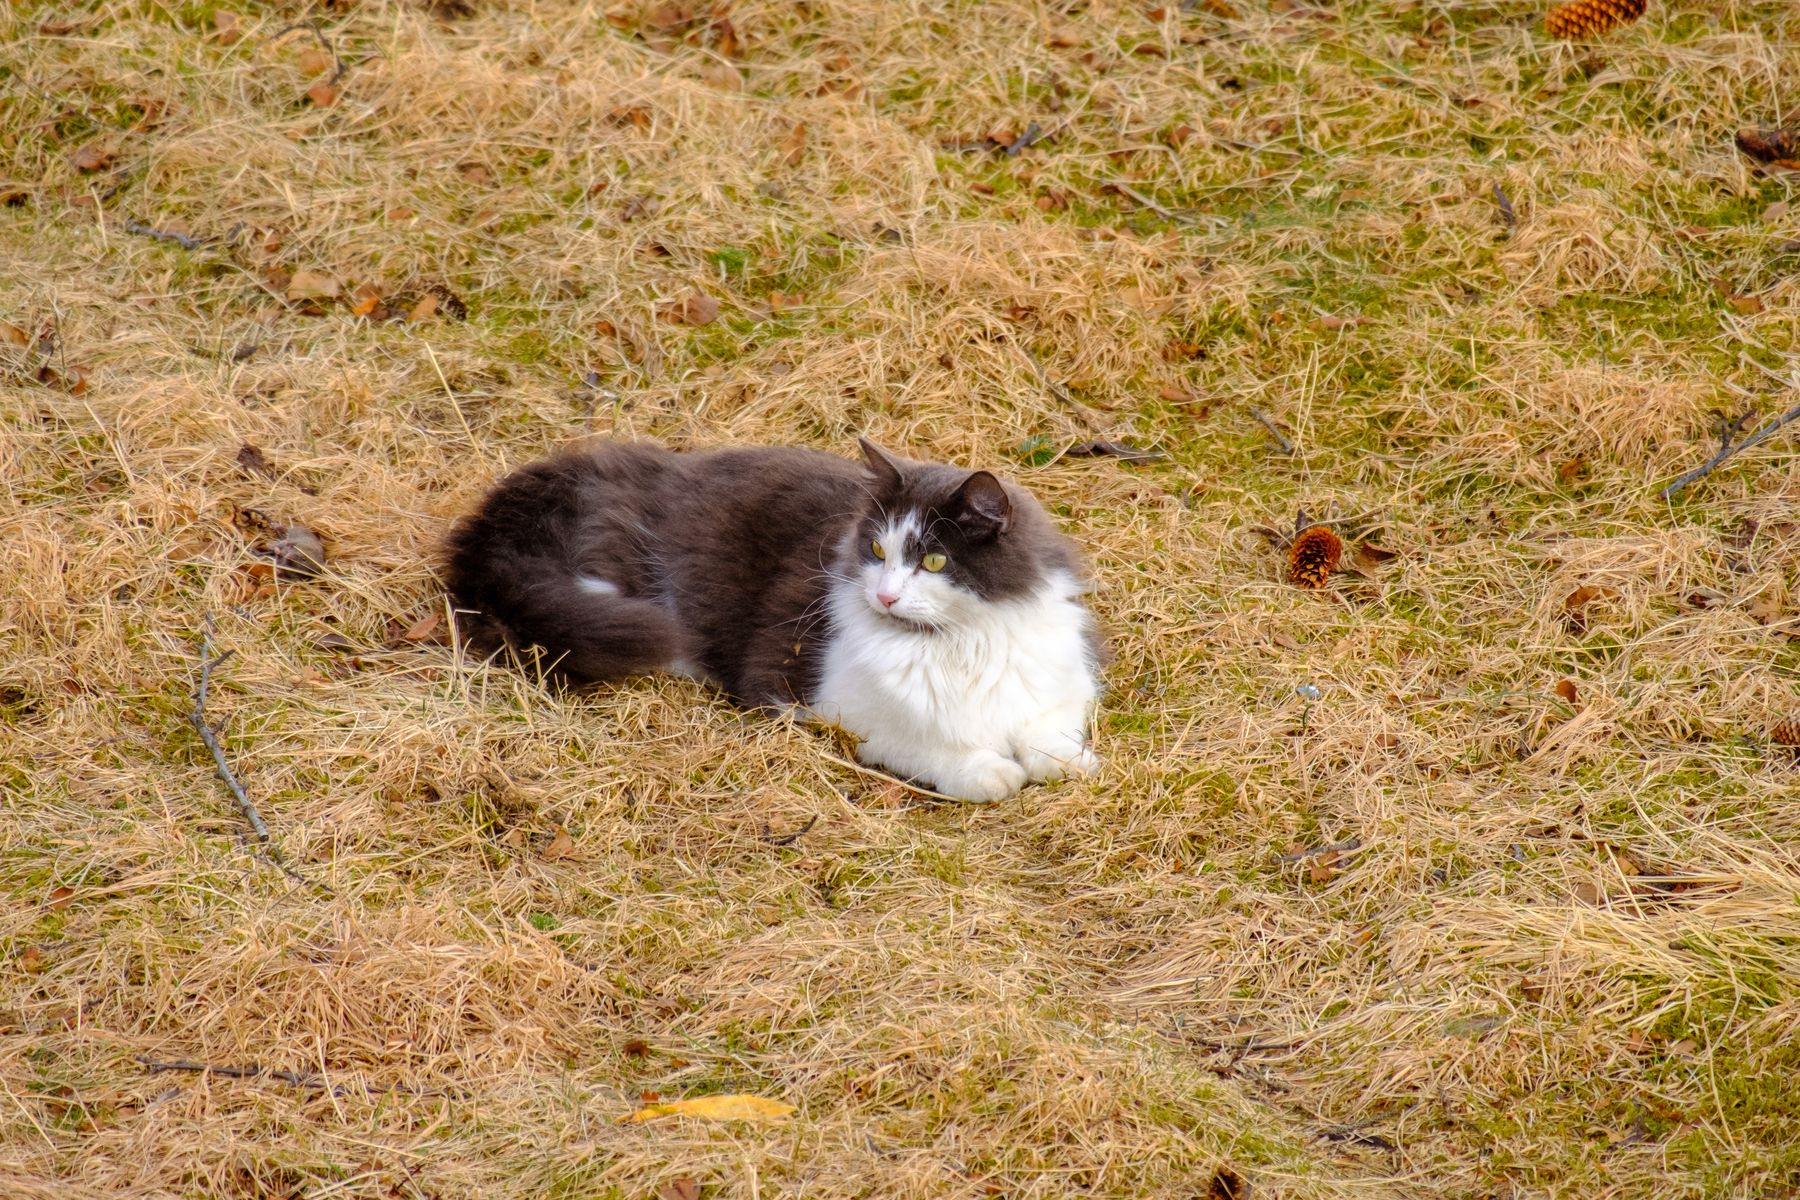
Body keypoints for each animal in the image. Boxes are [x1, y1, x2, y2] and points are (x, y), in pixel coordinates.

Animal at [442, 437, 1101, 802]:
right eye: (877, 550)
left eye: (934, 560)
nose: (885, 596)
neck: (961, 644)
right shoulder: (813, 695)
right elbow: (924, 743)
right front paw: (988, 771)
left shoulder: (1061, 680)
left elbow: (1050, 733)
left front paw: (1068, 763)